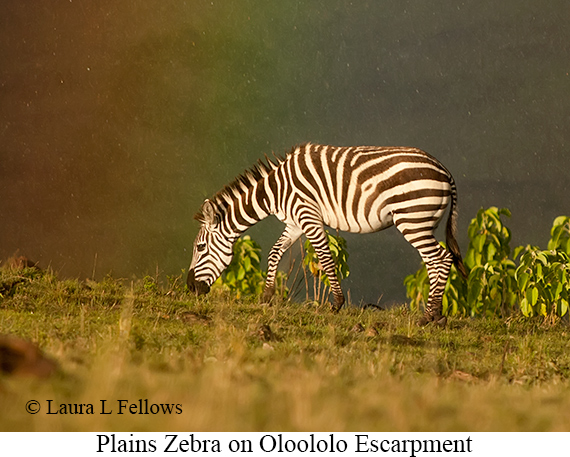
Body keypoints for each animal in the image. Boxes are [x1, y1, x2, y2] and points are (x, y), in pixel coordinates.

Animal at [187, 142, 466, 324]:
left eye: (200, 248)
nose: (190, 288)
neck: (275, 191)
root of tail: (444, 170)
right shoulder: (294, 222)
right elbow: (275, 252)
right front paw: (266, 296)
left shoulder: (307, 215)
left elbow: (326, 258)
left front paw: (336, 304)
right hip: (423, 221)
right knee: (437, 260)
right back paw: (437, 315)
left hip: (413, 218)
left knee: (440, 258)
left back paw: (428, 316)